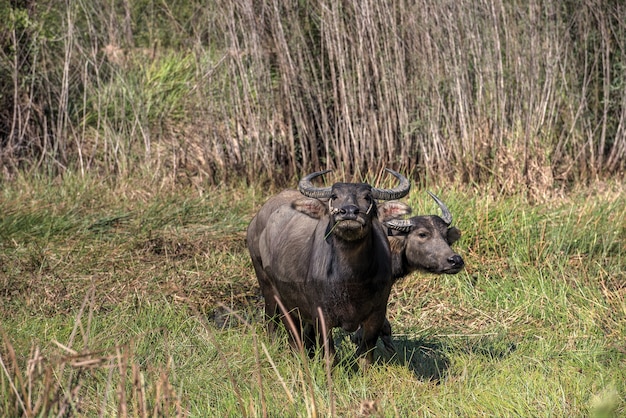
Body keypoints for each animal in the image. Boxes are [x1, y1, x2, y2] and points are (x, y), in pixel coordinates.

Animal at [246, 168, 412, 364]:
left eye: (367, 197)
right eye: (334, 196)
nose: (349, 212)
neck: (351, 279)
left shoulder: (377, 314)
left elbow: (365, 356)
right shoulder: (321, 316)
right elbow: (330, 355)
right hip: (271, 290)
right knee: (282, 328)